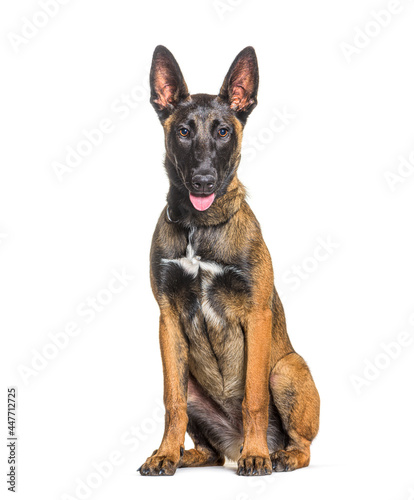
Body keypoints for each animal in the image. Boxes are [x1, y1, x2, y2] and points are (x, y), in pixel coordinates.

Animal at [139, 46, 320, 476]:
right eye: (183, 131)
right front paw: (165, 454)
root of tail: (231, 440)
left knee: (303, 445)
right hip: (192, 384)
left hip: (286, 369)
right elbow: (171, 403)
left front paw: (257, 456)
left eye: (223, 132)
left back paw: (276, 454)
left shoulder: (255, 315)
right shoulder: (168, 319)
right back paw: (184, 454)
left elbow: (253, 396)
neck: (199, 227)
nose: (203, 181)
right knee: (208, 447)